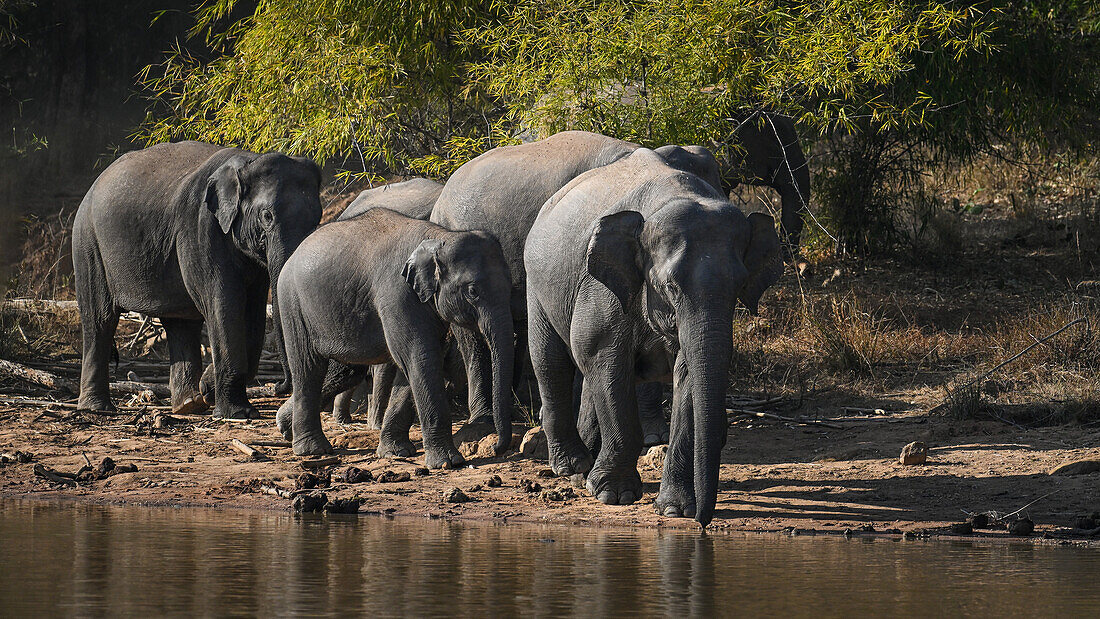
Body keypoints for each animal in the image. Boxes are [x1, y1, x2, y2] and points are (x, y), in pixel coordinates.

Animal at [71, 141, 321, 422]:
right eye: (267, 216)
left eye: (317, 219)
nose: (279, 386)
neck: (249, 161)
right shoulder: (200, 228)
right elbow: (224, 304)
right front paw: (238, 413)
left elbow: (252, 311)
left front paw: (208, 387)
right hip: (88, 242)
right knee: (100, 319)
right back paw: (97, 408)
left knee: (181, 322)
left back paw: (189, 404)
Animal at [275, 207, 514, 466]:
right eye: (473, 291)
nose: (496, 448)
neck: (440, 237)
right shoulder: (397, 295)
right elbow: (420, 357)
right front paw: (448, 462)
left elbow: (416, 363)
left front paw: (396, 452)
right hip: (292, 303)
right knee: (309, 368)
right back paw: (312, 450)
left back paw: (289, 429)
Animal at [523, 147, 783, 525]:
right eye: (670, 286)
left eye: (739, 285)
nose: (703, 522)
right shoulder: (602, 288)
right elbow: (606, 361)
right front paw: (615, 496)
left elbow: (686, 376)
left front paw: (675, 509)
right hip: (537, 282)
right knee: (551, 359)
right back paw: (571, 468)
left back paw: (584, 471)